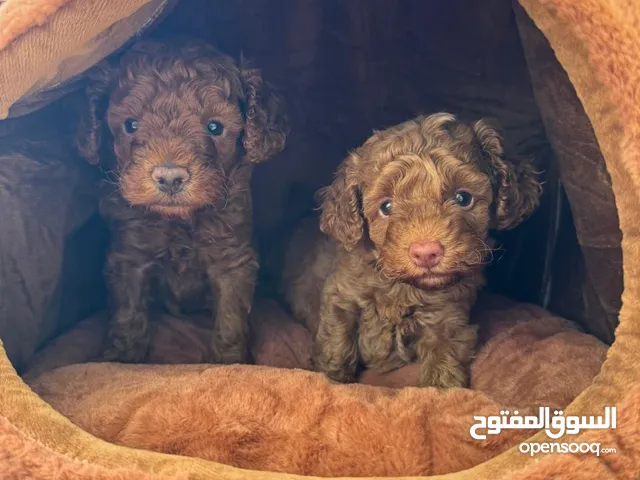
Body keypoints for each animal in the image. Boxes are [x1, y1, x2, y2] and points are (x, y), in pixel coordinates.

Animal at [76, 38, 288, 364]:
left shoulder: (232, 259)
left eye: (215, 127)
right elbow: (128, 311)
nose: (169, 177)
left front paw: (230, 361)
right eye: (131, 125)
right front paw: (122, 358)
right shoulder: (130, 256)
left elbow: (230, 319)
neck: (178, 221)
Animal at [280, 112, 540, 386]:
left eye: (463, 198)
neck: (402, 286)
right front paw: (333, 377)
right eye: (386, 207)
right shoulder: (341, 296)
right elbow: (337, 341)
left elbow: (445, 353)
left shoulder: (449, 315)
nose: (426, 252)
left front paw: (441, 384)